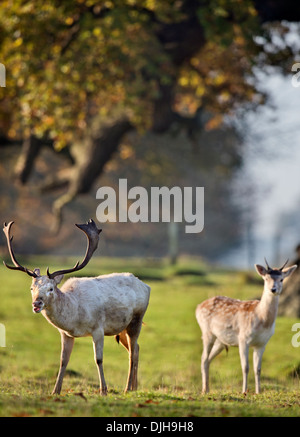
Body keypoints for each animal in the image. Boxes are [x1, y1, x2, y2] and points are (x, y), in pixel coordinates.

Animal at [2, 220, 150, 394]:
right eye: (32, 288)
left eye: (51, 289)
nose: (36, 303)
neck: (75, 317)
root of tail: (146, 285)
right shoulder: (65, 334)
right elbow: (63, 361)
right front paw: (55, 391)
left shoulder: (98, 328)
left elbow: (98, 359)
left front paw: (104, 390)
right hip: (121, 328)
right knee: (137, 348)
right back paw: (134, 388)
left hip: (137, 319)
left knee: (132, 352)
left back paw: (127, 388)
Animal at [196, 258, 296, 394]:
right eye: (266, 278)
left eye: (281, 279)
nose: (273, 289)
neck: (262, 320)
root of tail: (197, 307)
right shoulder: (243, 338)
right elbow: (245, 367)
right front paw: (244, 391)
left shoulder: (262, 343)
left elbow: (258, 369)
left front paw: (258, 392)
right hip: (207, 332)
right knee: (204, 358)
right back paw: (204, 390)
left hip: (220, 340)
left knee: (208, 359)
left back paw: (207, 389)